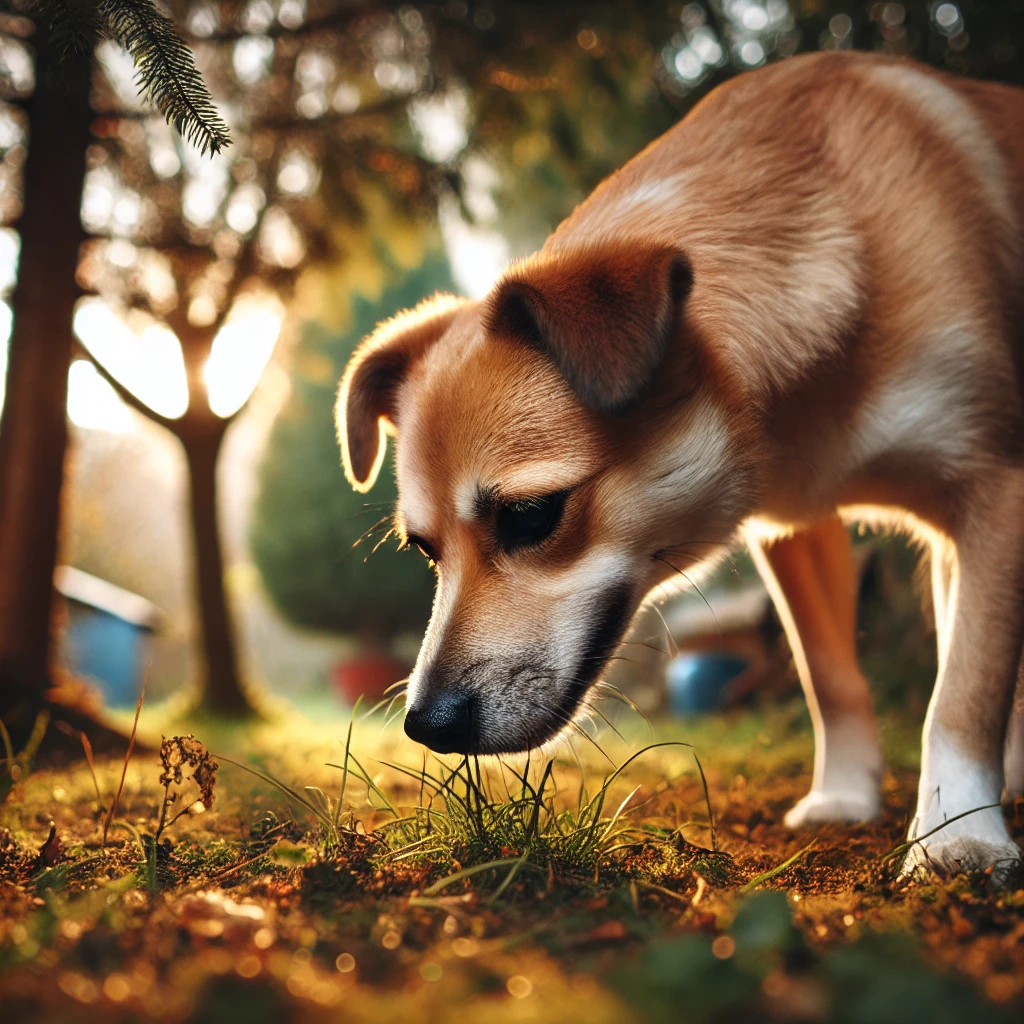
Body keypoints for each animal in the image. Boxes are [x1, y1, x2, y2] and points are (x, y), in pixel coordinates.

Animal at [339, 49, 1024, 880]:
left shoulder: (996, 486)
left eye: (531, 516)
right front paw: (845, 796)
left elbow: (965, 687)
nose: (427, 725)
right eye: (424, 548)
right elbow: (828, 676)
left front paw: (959, 830)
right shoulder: (794, 530)